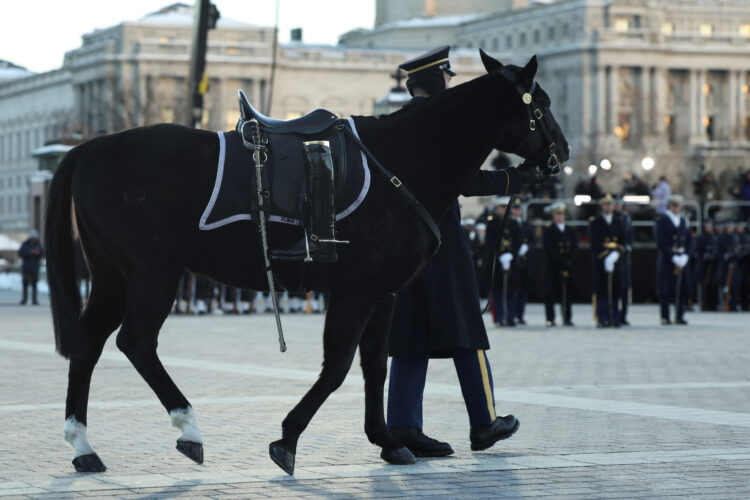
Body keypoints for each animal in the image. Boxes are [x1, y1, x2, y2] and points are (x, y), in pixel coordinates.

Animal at [45, 50, 568, 476]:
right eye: (540, 104)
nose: (561, 154)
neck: (402, 159)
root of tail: (91, 144)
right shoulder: (356, 291)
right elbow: (337, 367)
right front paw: (288, 438)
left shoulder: (383, 293)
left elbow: (374, 364)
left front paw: (388, 440)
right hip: (153, 273)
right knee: (135, 341)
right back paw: (187, 427)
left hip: (112, 275)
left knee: (89, 344)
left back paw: (83, 446)